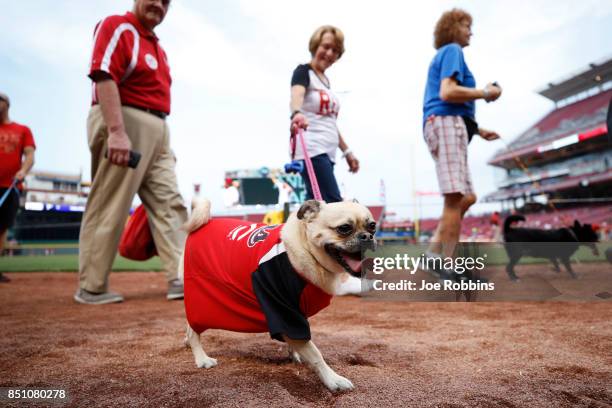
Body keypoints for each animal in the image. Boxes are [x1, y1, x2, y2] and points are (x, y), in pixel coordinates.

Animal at [179, 199, 376, 390]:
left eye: (372, 226)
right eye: (344, 228)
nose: (368, 236)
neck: (306, 249)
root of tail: (205, 223)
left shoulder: (297, 310)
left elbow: (298, 340)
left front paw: (294, 353)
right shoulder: (282, 309)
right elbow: (315, 353)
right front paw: (332, 379)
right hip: (203, 300)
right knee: (193, 329)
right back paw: (201, 358)